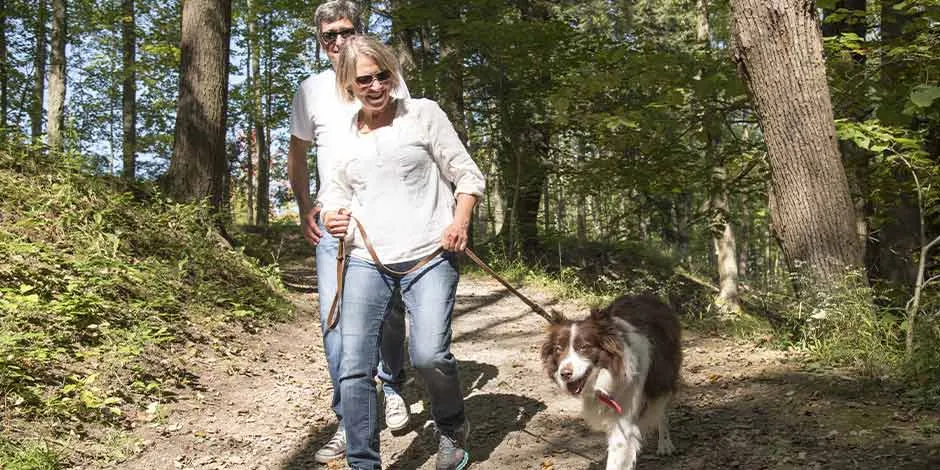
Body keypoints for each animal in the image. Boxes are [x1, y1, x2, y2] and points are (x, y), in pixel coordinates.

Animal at [544, 296, 684, 468]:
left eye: (584, 347)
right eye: (558, 349)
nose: (564, 374)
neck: (605, 377)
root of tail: (648, 297)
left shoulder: (625, 414)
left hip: (663, 377)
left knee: (661, 409)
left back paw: (665, 444)